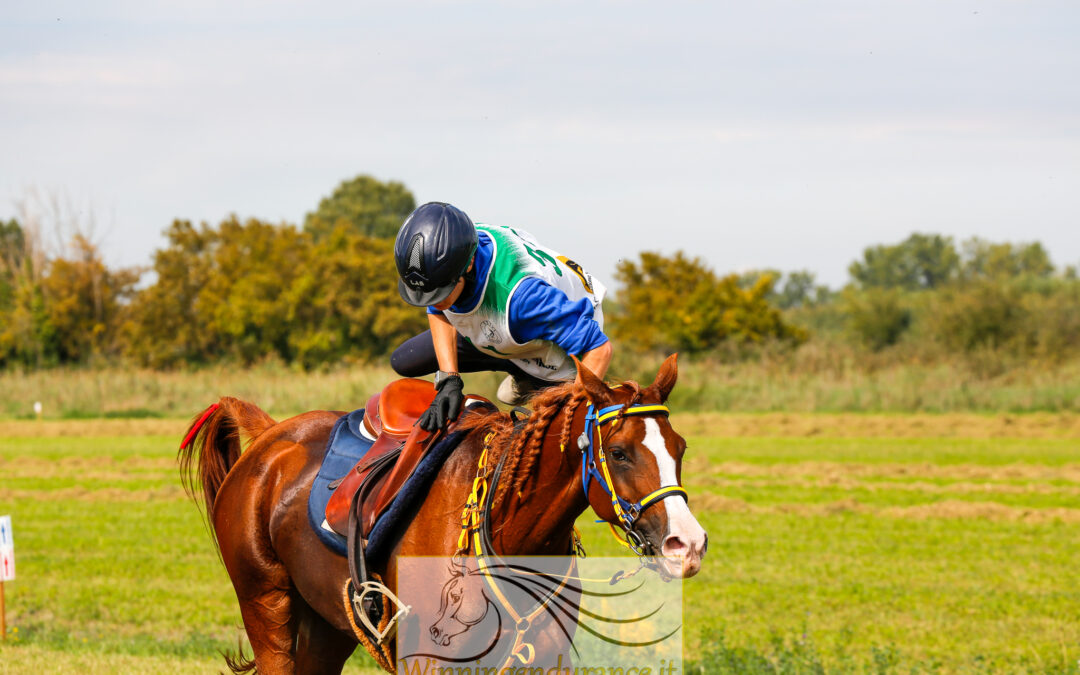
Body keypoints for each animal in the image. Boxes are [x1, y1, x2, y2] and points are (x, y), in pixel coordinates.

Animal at [179, 356, 708, 669]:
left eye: (680, 448)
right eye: (618, 453)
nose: (688, 544)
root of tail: (269, 436)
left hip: (325, 627)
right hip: (267, 607)